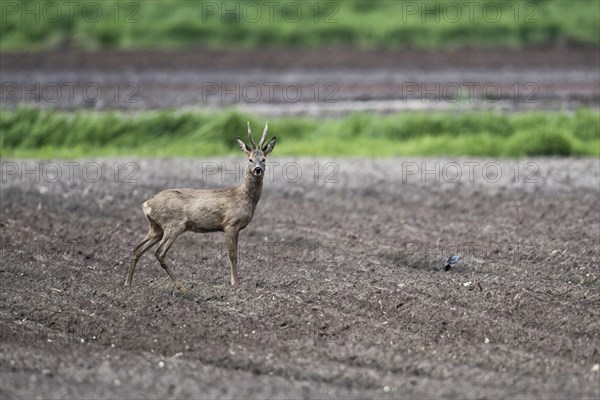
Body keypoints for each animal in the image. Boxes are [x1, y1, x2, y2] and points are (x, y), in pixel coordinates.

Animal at [127, 120, 278, 292]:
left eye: (264, 159)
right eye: (250, 159)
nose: (258, 169)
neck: (244, 197)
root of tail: (147, 204)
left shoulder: (238, 228)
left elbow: (236, 254)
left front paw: (236, 282)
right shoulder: (230, 224)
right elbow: (232, 255)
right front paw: (235, 283)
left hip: (156, 228)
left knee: (137, 249)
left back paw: (128, 283)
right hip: (174, 224)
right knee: (159, 253)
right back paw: (182, 287)